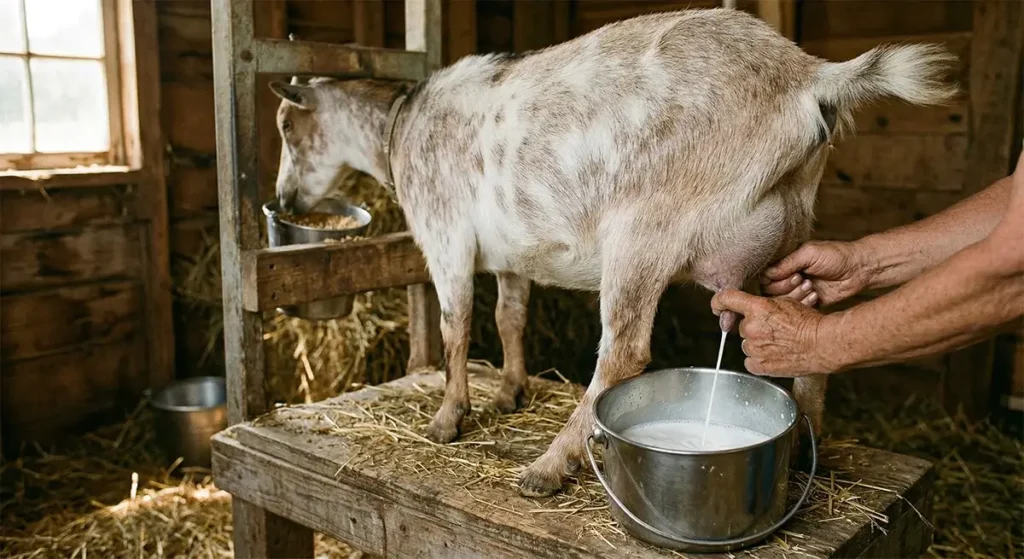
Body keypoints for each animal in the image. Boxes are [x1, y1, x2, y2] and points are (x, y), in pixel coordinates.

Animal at [268, 7, 956, 497]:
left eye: (285, 125)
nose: (282, 198)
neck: (399, 127)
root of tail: (809, 78)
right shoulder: (513, 255)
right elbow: (509, 317)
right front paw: (509, 392)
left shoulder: (445, 235)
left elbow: (455, 325)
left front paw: (447, 418)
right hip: (790, 229)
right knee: (812, 323)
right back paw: (809, 443)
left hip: (643, 231)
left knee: (624, 351)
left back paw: (549, 467)